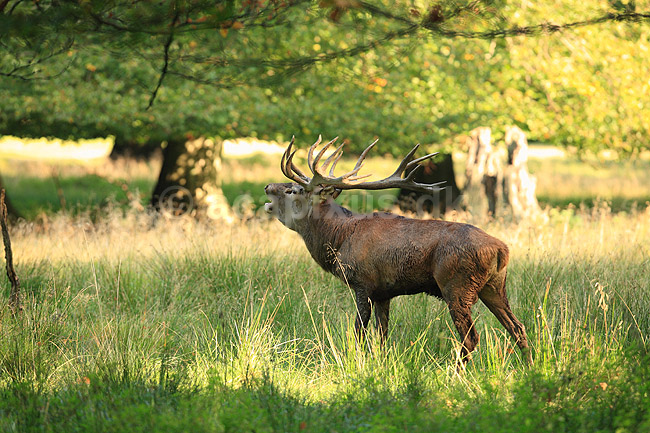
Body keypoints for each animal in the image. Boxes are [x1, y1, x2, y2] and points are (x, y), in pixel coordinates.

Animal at [264, 136, 533, 367]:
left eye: (293, 190)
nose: (267, 186)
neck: (339, 237)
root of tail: (501, 249)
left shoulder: (363, 282)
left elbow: (359, 332)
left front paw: (356, 363)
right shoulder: (384, 293)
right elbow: (382, 336)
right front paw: (380, 364)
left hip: (456, 284)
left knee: (471, 337)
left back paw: (454, 374)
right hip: (494, 286)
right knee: (517, 327)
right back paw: (530, 368)